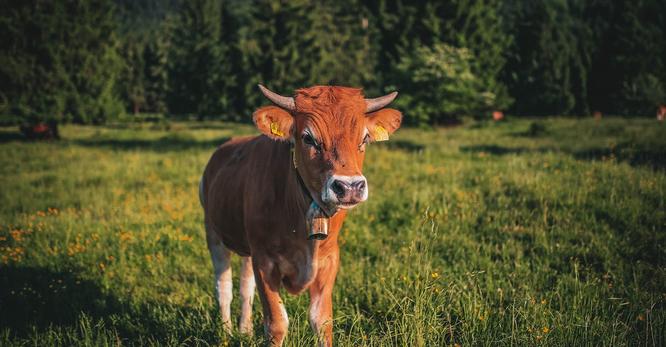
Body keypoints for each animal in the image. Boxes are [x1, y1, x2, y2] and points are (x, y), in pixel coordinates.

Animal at [198, 85, 400, 347]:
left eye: (364, 138)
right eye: (308, 138)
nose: (350, 187)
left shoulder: (329, 259)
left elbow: (321, 321)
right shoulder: (264, 260)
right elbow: (276, 323)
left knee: (245, 286)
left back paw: (245, 330)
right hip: (213, 232)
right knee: (223, 287)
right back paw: (226, 332)